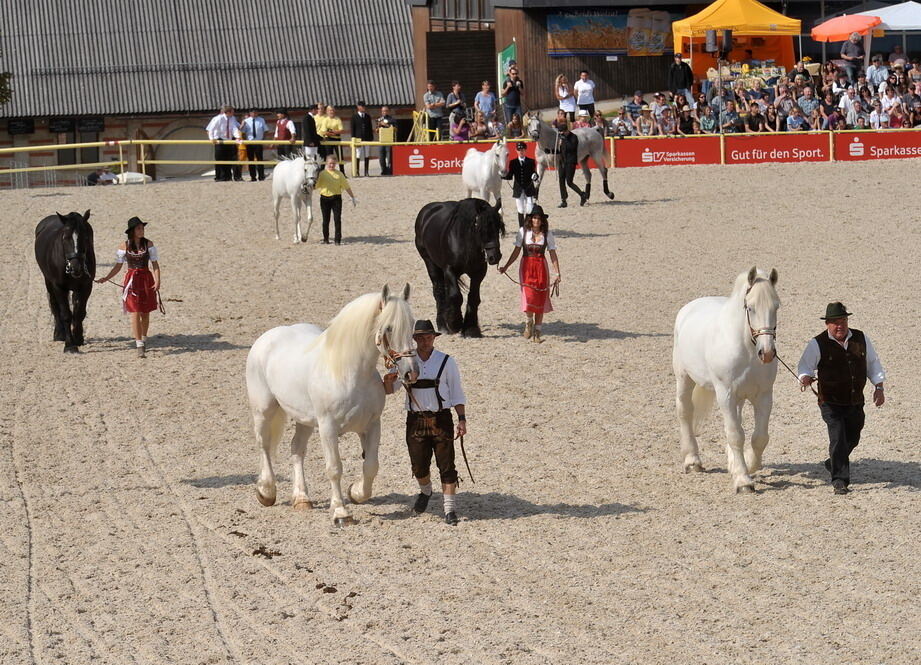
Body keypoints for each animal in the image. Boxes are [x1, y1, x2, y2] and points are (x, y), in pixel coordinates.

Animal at [34, 210, 95, 352]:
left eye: (86, 237)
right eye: (65, 238)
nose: (76, 267)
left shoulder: (86, 286)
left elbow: (79, 312)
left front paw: (78, 338)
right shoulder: (58, 287)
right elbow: (66, 314)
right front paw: (69, 345)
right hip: (48, 281)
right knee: (54, 305)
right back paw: (59, 334)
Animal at [244, 282, 416, 520]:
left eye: (413, 324)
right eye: (389, 328)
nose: (410, 372)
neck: (350, 373)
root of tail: (267, 338)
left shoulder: (372, 425)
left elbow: (371, 465)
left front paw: (356, 493)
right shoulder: (328, 428)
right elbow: (334, 468)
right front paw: (341, 512)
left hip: (304, 420)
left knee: (297, 449)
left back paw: (302, 499)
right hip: (264, 411)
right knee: (265, 444)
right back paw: (266, 491)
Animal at [416, 195, 504, 334]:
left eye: (499, 227)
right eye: (481, 227)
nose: (494, 256)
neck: (465, 241)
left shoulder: (478, 273)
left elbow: (474, 297)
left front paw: (471, 329)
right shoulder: (449, 270)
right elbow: (456, 296)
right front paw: (455, 323)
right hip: (430, 263)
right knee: (439, 292)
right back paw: (443, 326)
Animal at [672, 266, 780, 492]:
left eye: (776, 307)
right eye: (750, 308)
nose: (767, 353)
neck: (747, 349)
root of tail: (689, 308)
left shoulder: (764, 396)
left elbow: (759, 437)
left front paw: (747, 464)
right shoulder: (726, 394)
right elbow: (736, 435)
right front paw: (743, 480)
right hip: (684, 378)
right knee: (685, 411)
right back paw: (692, 460)